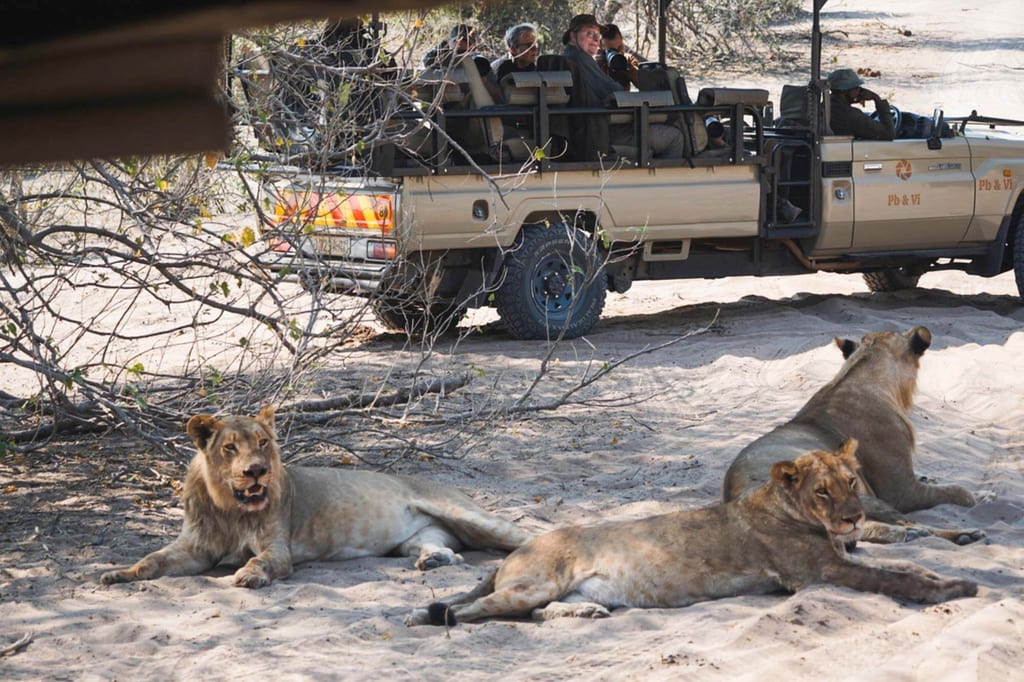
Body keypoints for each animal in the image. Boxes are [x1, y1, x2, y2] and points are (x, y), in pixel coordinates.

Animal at [100, 406, 529, 588]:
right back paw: (435, 560)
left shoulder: (277, 548)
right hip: (416, 540)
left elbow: (261, 561)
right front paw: (119, 574)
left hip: (466, 514)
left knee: (526, 534)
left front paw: (249, 575)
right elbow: (152, 560)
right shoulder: (195, 547)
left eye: (263, 443)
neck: (230, 508)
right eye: (230, 448)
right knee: (449, 550)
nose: (256, 470)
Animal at [406, 439, 977, 626]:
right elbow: (898, 579)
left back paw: (589, 614)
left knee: (535, 613)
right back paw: (432, 617)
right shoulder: (819, 572)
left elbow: (905, 565)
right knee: (472, 610)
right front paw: (953, 587)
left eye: (852, 482)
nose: (855, 518)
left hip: (555, 590)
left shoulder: (841, 557)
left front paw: (952, 577)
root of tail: (517, 549)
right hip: (536, 580)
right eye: (822, 491)